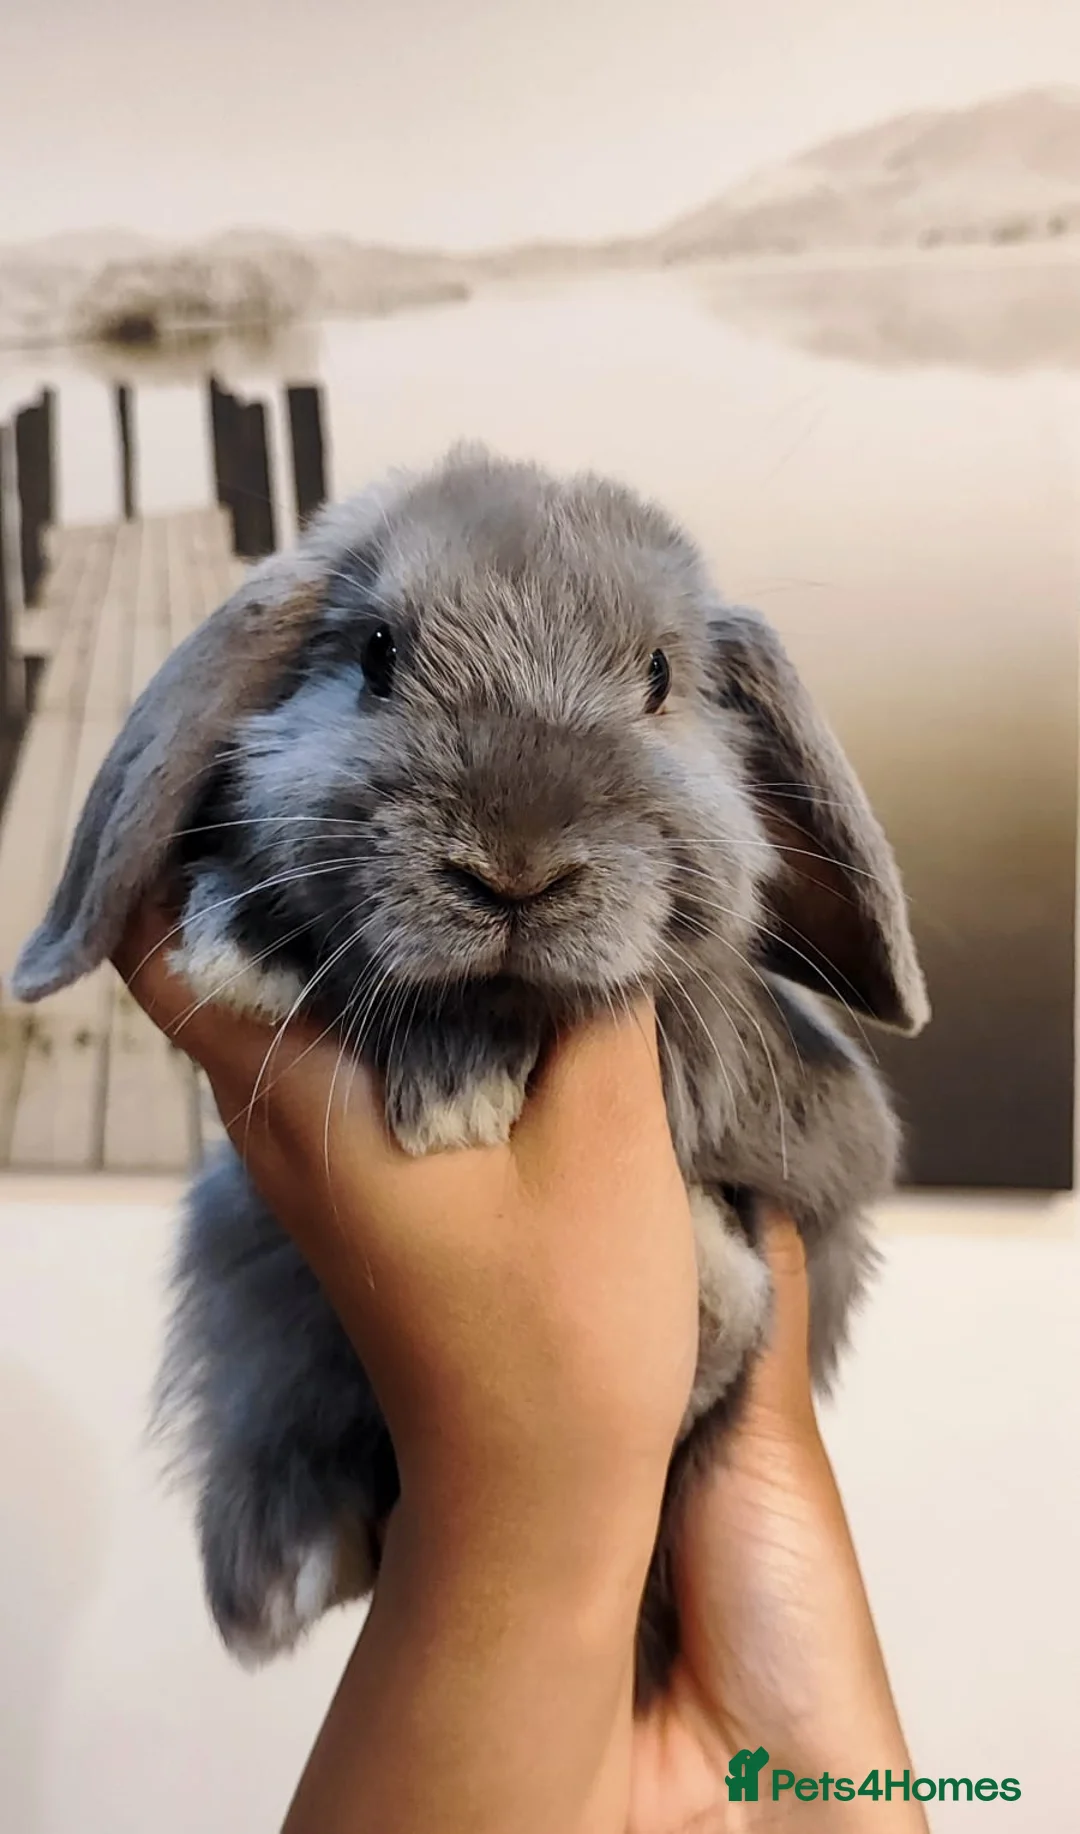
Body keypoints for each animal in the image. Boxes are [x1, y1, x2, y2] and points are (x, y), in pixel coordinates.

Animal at [10, 444, 928, 1704]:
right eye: (376, 655)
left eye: (659, 677)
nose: (515, 868)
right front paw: (245, 946)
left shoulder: (790, 1102)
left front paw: (455, 1086)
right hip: (242, 1258)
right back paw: (278, 1574)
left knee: (727, 1325)